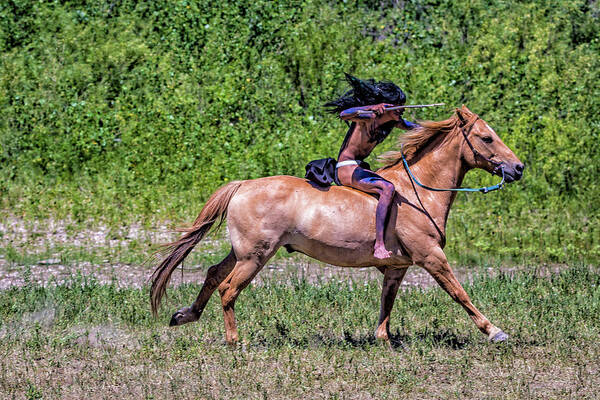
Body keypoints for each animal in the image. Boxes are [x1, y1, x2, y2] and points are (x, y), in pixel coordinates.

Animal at [151, 105, 524, 344]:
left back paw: (185, 315)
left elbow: (387, 302)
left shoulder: (398, 267)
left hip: (241, 252)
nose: (518, 168)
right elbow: (459, 293)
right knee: (228, 289)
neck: (417, 190)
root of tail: (242, 185)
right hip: (255, 256)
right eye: (487, 138)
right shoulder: (430, 256)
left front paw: (384, 340)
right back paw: (233, 341)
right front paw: (495, 331)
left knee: (214, 273)